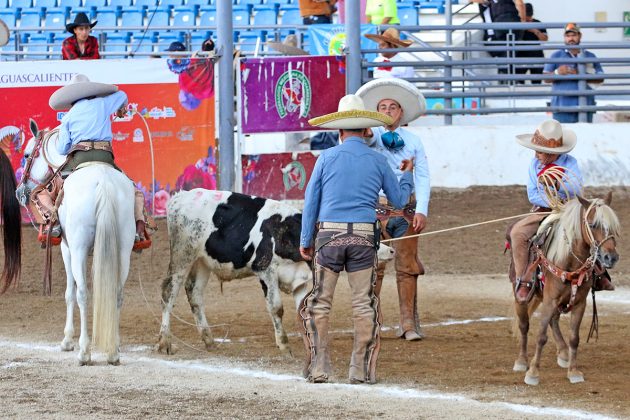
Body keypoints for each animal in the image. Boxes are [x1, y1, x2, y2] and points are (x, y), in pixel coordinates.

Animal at [15, 120, 136, 364]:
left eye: (26, 154)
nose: (20, 192)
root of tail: (103, 182)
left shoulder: (66, 249)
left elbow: (70, 293)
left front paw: (67, 341)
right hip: (123, 250)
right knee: (117, 294)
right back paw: (113, 351)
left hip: (78, 249)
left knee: (82, 294)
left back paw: (84, 352)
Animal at [157, 189, 396, 352]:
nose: (391, 250)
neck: (290, 233)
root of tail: (180, 197)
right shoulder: (266, 271)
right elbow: (276, 308)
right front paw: (284, 344)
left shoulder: (301, 279)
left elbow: (303, 310)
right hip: (182, 255)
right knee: (169, 291)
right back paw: (164, 341)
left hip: (203, 261)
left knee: (195, 294)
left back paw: (208, 340)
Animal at [516, 194, 624, 384]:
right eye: (593, 224)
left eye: (613, 226)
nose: (611, 258)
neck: (569, 262)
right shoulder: (550, 300)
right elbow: (541, 336)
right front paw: (533, 373)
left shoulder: (580, 303)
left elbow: (574, 338)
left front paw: (573, 372)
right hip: (523, 294)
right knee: (524, 325)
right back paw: (522, 361)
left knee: (553, 321)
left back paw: (563, 354)